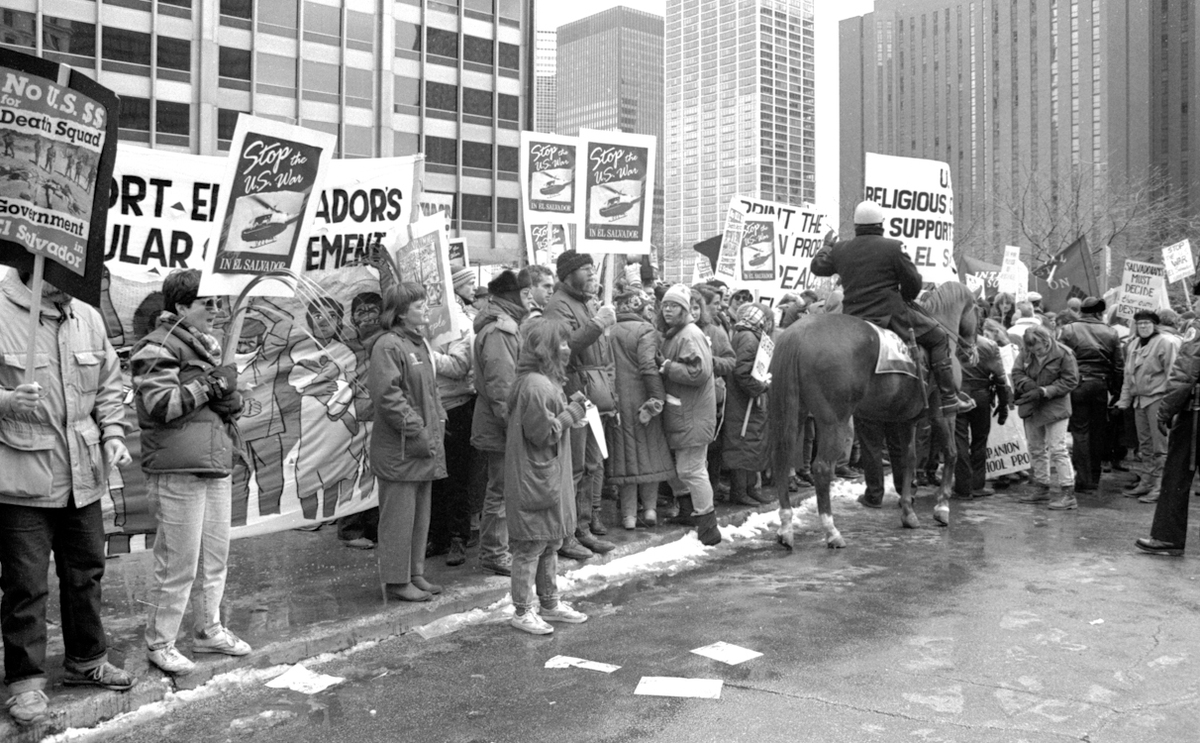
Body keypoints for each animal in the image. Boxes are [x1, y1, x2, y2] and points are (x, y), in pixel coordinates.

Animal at [768, 282, 974, 549]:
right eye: (976, 310)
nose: (973, 351)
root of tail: (797, 334)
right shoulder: (941, 413)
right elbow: (951, 453)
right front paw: (942, 507)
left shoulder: (906, 419)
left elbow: (907, 460)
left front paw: (908, 512)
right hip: (834, 421)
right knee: (822, 468)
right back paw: (832, 531)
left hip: (793, 414)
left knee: (781, 460)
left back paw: (785, 528)